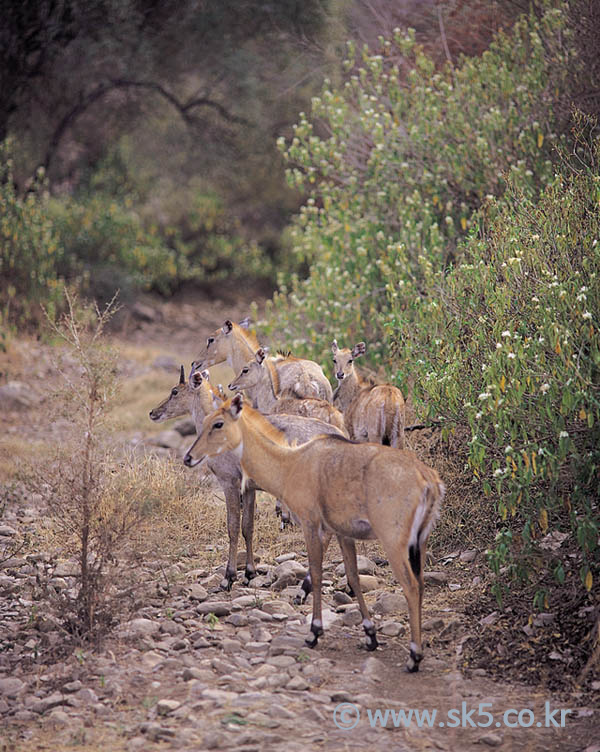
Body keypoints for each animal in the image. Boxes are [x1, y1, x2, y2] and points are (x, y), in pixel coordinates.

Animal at [150, 368, 344, 592]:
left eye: (174, 391)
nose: (153, 412)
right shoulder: (249, 489)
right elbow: (248, 527)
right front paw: (250, 572)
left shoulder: (229, 482)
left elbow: (233, 527)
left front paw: (228, 577)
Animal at [184, 396, 446, 672]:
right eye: (204, 421)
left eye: (218, 423)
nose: (189, 457)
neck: (291, 462)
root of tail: (429, 480)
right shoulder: (342, 532)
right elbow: (353, 577)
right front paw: (370, 635)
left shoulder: (310, 525)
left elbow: (318, 574)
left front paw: (314, 632)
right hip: (420, 542)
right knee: (420, 583)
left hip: (394, 542)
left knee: (411, 586)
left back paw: (414, 656)